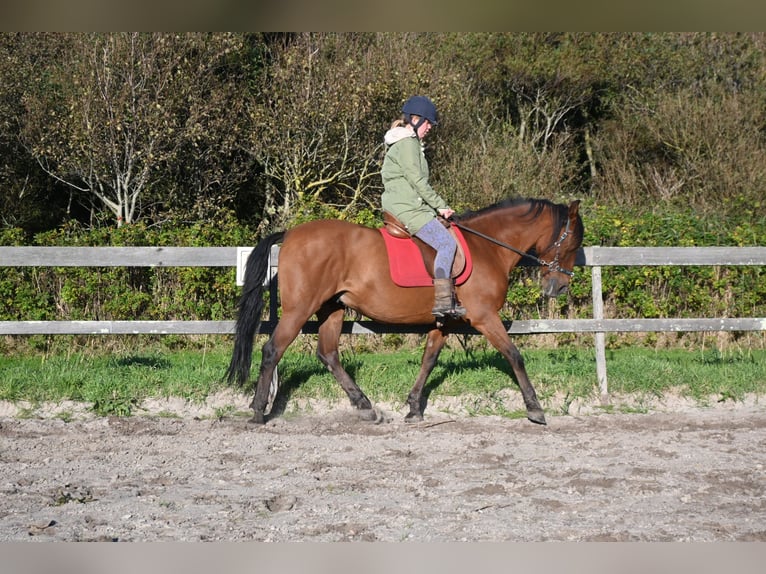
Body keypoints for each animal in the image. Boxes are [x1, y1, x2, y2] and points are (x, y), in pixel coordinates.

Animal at [225, 198, 584, 428]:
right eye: (572, 242)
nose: (558, 288)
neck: (488, 248)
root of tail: (291, 234)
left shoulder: (445, 322)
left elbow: (429, 359)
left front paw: (413, 408)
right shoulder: (484, 317)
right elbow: (514, 355)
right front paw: (535, 409)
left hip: (333, 308)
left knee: (328, 354)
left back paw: (366, 408)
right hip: (300, 309)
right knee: (273, 349)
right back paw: (258, 412)